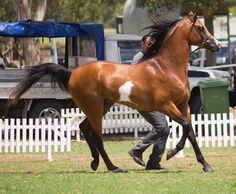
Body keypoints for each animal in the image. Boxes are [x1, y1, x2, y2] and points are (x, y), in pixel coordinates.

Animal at [9, 11, 219, 173]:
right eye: (200, 27)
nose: (215, 45)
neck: (167, 67)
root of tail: (72, 73)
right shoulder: (167, 106)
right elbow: (186, 126)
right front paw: (172, 153)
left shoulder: (183, 105)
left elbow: (190, 131)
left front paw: (205, 165)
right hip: (94, 107)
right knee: (97, 136)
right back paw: (112, 167)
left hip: (103, 105)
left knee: (85, 128)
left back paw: (95, 162)